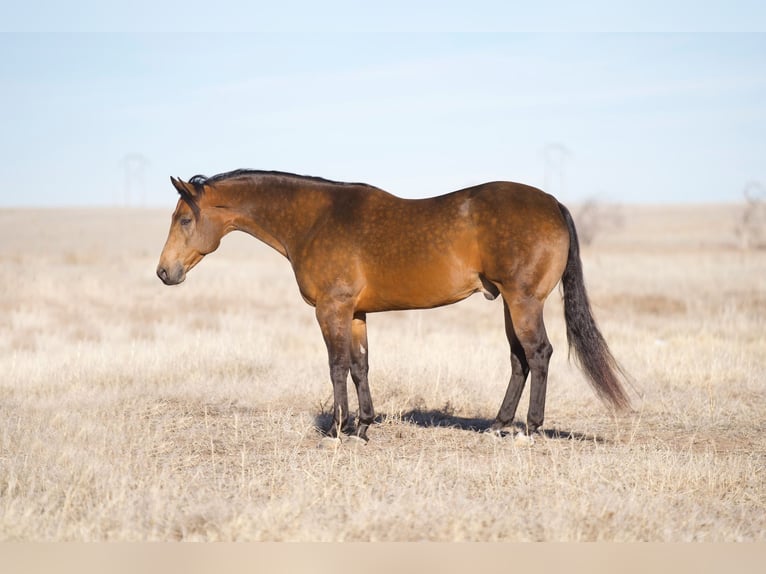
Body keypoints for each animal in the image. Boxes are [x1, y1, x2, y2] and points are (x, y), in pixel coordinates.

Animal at [154, 169, 632, 444]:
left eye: (185, 219)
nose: (164, 272)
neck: (315, 220)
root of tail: (552, 202)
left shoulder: (330, 310)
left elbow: (337, 366)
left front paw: (339, 430)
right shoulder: (356, 313)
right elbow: (360, 366)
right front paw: (364, 426)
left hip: (523, 300)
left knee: (538, 354)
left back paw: (529, 429)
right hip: (509, 304)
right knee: (519, 359)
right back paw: (499, 424)